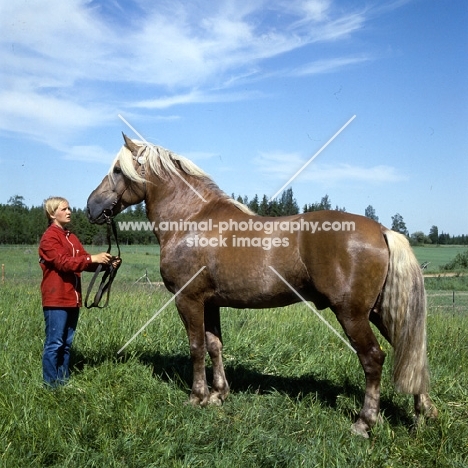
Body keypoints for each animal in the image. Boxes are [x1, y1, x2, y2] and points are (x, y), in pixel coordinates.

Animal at [85, 133, 438, 436]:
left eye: (117, 169)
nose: (91, 206)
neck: (191, 220)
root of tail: (382, 230)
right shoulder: (211, 302)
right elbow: (215, 345)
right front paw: (218, 395)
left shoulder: (189, 300)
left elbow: (196, 347)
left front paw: (197, 397)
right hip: (379, 311)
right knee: (410, 351)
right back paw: (423, 412)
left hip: (352, 314)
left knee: (374, 359)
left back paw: (364, 423)